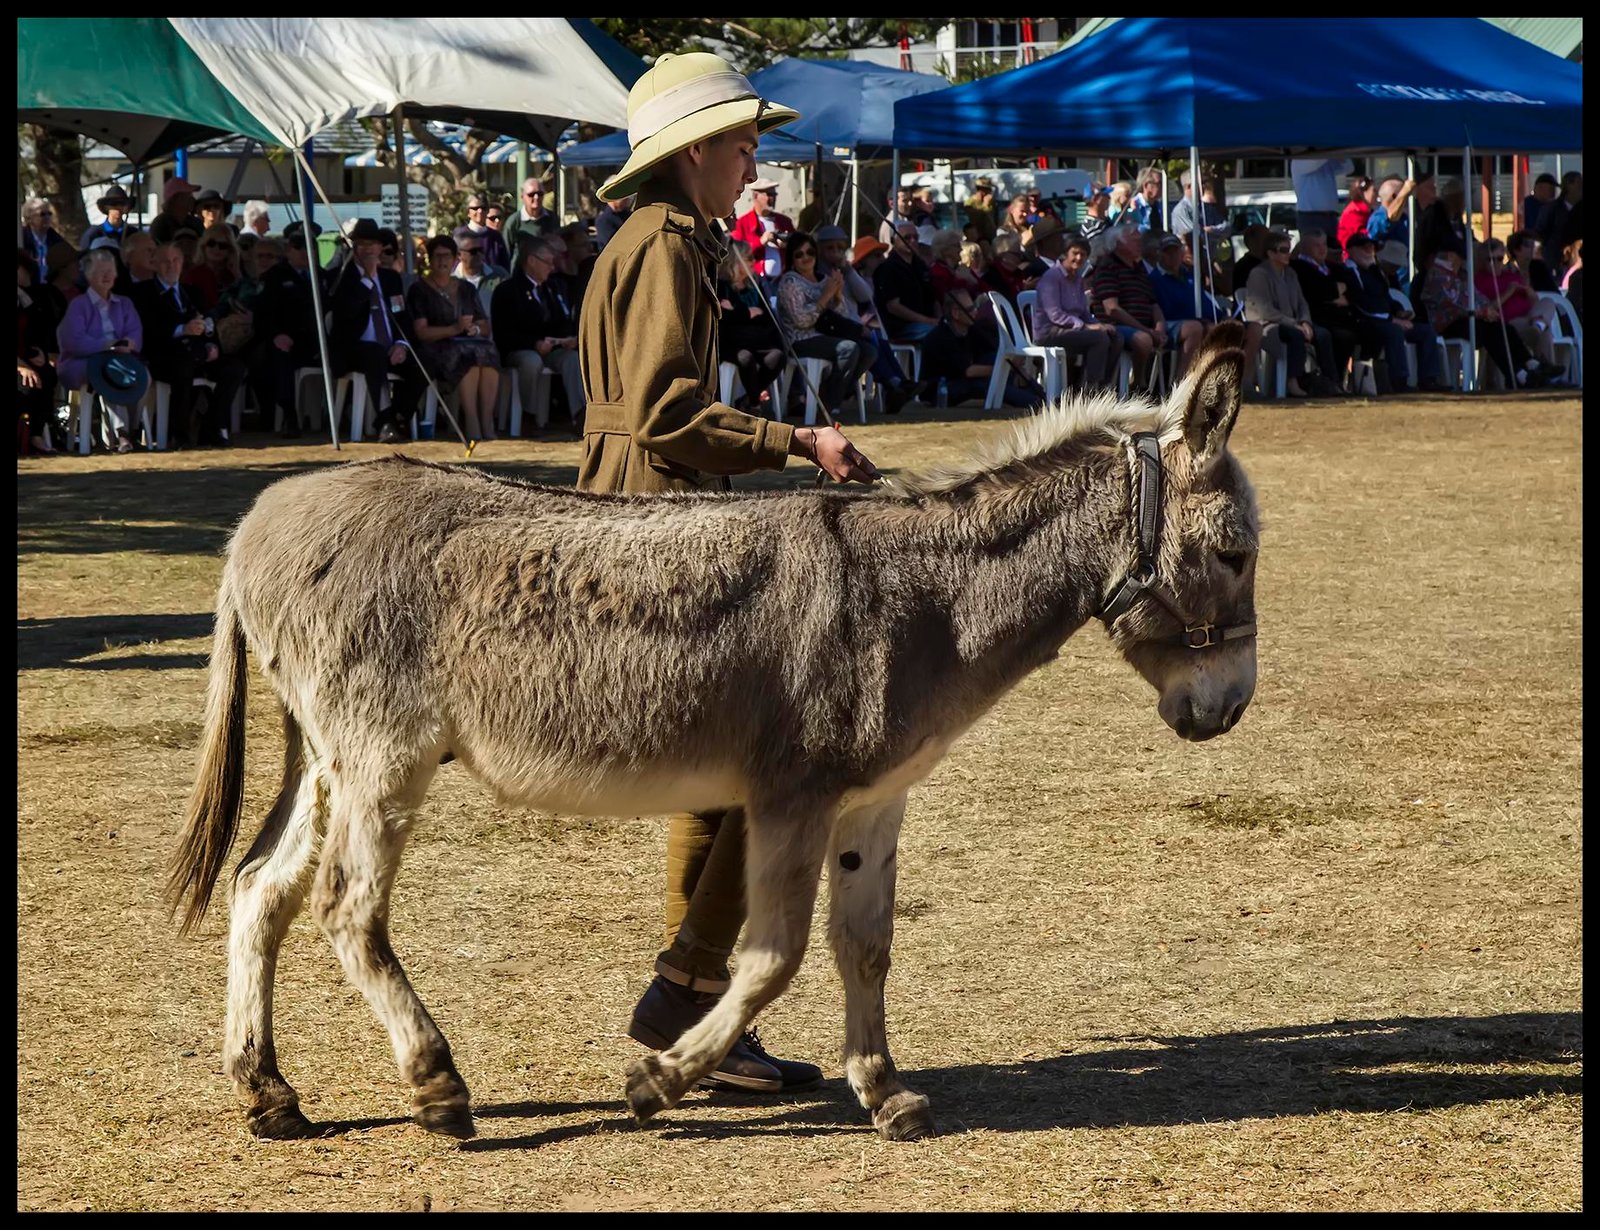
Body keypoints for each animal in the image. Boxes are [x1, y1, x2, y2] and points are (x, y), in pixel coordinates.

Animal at [166, 323, 1260, 1144]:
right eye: (1234, 551)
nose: (1230, 709)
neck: (921, 595)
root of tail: (262, 515)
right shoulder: (792, 797)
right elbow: (772, 956)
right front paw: (660, 1081)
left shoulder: (874, 802)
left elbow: (865, 947)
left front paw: (884, 1091)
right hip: (384, 759)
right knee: (347, 908)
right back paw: (437, 1085)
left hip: (327, 757)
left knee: (261, 889)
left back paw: (267, 1094)